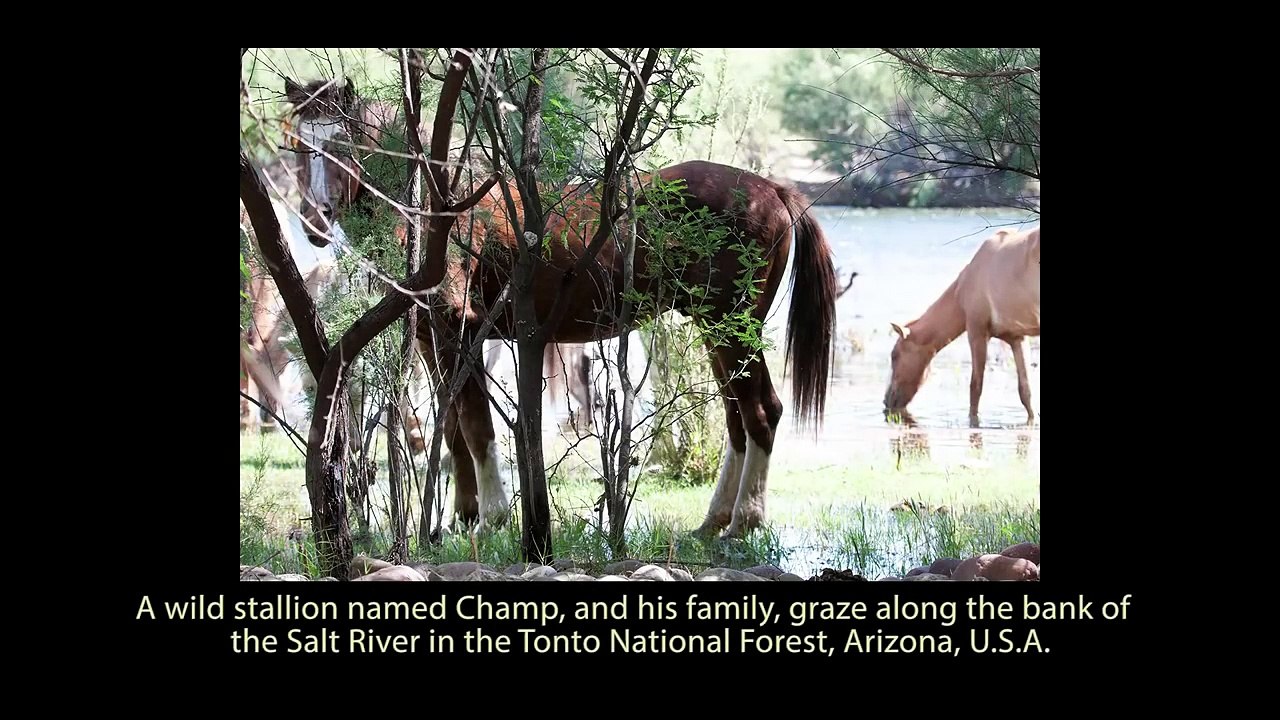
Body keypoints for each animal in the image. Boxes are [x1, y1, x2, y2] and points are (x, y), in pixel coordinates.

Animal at [285, 77, 839, 540]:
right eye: (296, 146)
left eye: (344, 145)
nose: (314, 219)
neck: (439, 211)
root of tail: (774, 190)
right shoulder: (432, 340)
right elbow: (453, 429)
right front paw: (462, 516)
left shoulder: (461, 331)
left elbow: (476, 426)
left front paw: (492, 518)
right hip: (717, 331)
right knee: (737, 419)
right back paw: (713, 521)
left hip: (730, 327)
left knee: (762, 412)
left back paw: (744, 521)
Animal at [883, 225, 1040, 427]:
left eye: (894, 355)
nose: (886, 400)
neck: (962, 291)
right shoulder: (1016, 337)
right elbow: (1025, 390)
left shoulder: (976, 331)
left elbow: (975, 387)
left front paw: (973, 422)